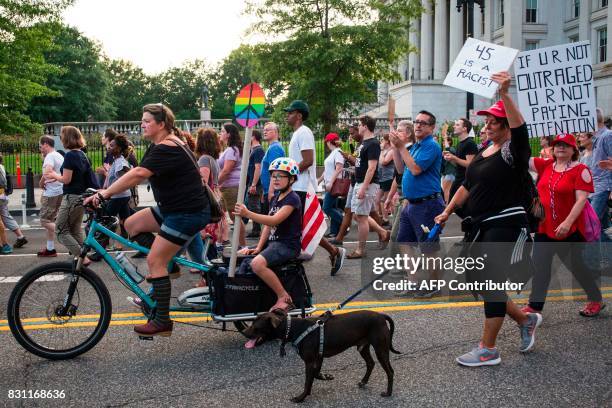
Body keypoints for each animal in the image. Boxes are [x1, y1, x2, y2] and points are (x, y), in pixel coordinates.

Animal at [244, 310, 402, 404]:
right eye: (251, 323)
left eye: (256, 327)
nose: (244, 332)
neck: (293, 328)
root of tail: (381, 315)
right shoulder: (318, 358)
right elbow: (315, 375)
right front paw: (326, 376)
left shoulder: (309, 361)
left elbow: (307, 381)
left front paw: (301, 397)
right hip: (363, 347)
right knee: (370, 363)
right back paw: (363, 382)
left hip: (381, 349)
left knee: (390, 371)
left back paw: (388, 393)